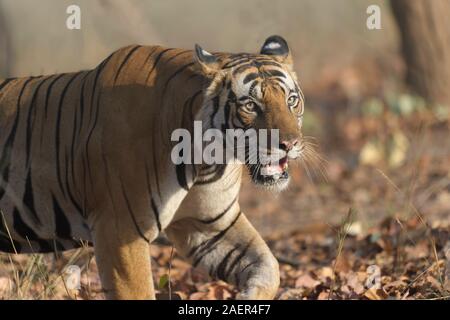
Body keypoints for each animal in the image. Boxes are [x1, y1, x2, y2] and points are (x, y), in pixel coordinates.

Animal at [0, 36, 306, 298]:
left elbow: (268, 266)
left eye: (291, 100)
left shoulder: (209, 225)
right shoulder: (120, 231)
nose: (290, 143)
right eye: (251, 105)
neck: (207, 161)